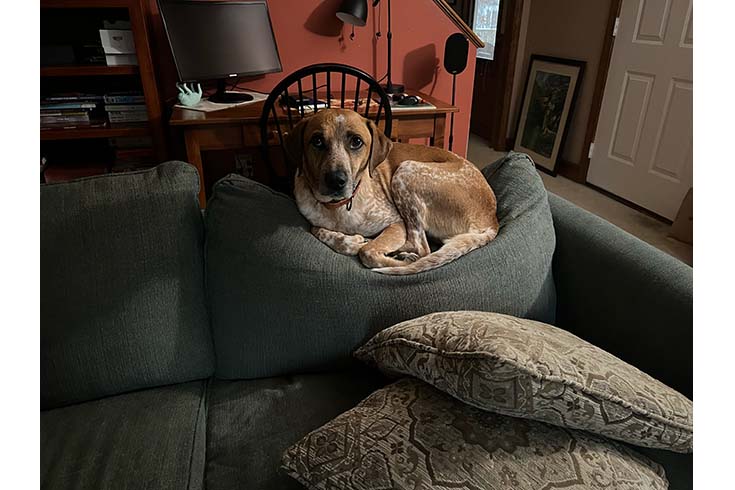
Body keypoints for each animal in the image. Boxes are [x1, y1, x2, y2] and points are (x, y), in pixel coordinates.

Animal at [284, 108, 498, 276]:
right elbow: (317, 230)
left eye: (356, 142)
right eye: (317, 141)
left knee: (422, 247)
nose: (336, 180)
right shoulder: (314, 220)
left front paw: (363, 244)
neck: (339, 208)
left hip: (406, 170)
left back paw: (403, 255)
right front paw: (349, 240)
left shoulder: (396, 223)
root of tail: (493, 220)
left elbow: (367, 251)